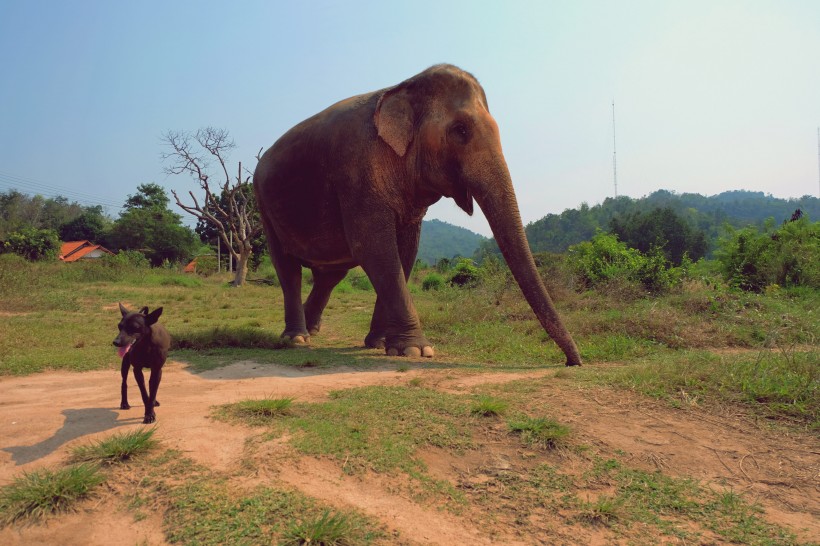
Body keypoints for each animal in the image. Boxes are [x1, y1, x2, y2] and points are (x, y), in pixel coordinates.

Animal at [255, 63, 584, 366]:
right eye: (460, 130)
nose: (573, 362)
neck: (399, 88)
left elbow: (405, 252)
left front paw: (381, 343)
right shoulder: (355, 172)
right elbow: (374, 248)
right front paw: (417, 350)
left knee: (331, 273)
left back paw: (312, 331)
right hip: (264, 203)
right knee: (287, 266)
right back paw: (296, 339)